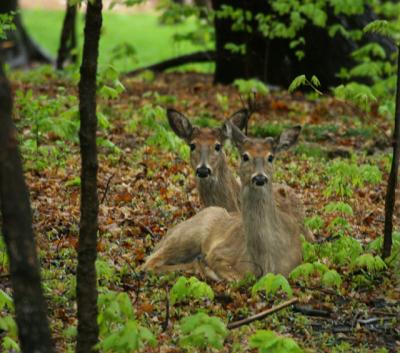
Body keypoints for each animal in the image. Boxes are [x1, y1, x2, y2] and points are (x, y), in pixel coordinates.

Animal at [143, 122, 306, 280]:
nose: (259, 177)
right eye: (245, 156)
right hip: (187, 236)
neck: (266, 260)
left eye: (271, 157)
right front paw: (206, 267)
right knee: (148, 263)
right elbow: (237, 277)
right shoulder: (219, 253)